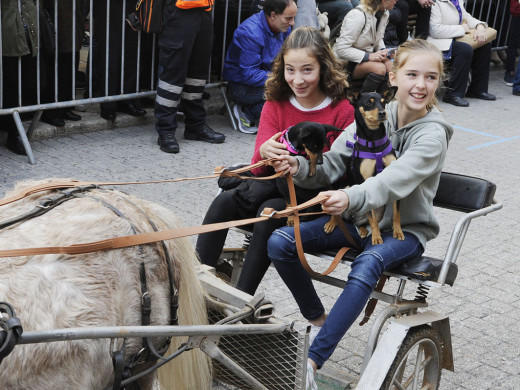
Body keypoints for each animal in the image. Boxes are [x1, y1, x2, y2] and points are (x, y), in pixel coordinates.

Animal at [322, 86, 404, 244]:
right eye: (368, 103)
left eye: (383, 103)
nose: (382, 113)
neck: (374, 142)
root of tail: (351, 215)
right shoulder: (365, 181)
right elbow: (372, 219)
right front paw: (377, 237)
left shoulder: (394, 179)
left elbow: (396, 213)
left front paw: (397, 231)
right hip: (345, 189)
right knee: (339, 215)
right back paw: (331, 223)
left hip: (379, 209)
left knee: (362, 221)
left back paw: (363, 230)